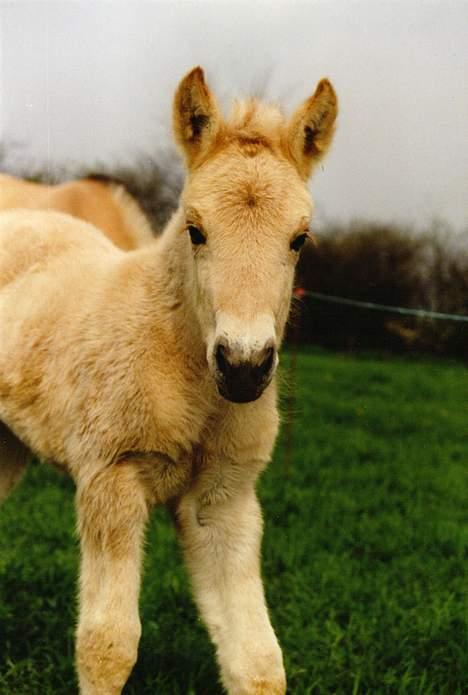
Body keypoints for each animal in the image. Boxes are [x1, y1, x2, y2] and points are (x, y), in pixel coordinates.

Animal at [0, 66, 338, 695]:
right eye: (195, 229)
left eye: (299, 238)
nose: (244, 366)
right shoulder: (111, 478)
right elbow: (108, 646)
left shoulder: (224, 499)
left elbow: (258, 662)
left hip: (7, 443)